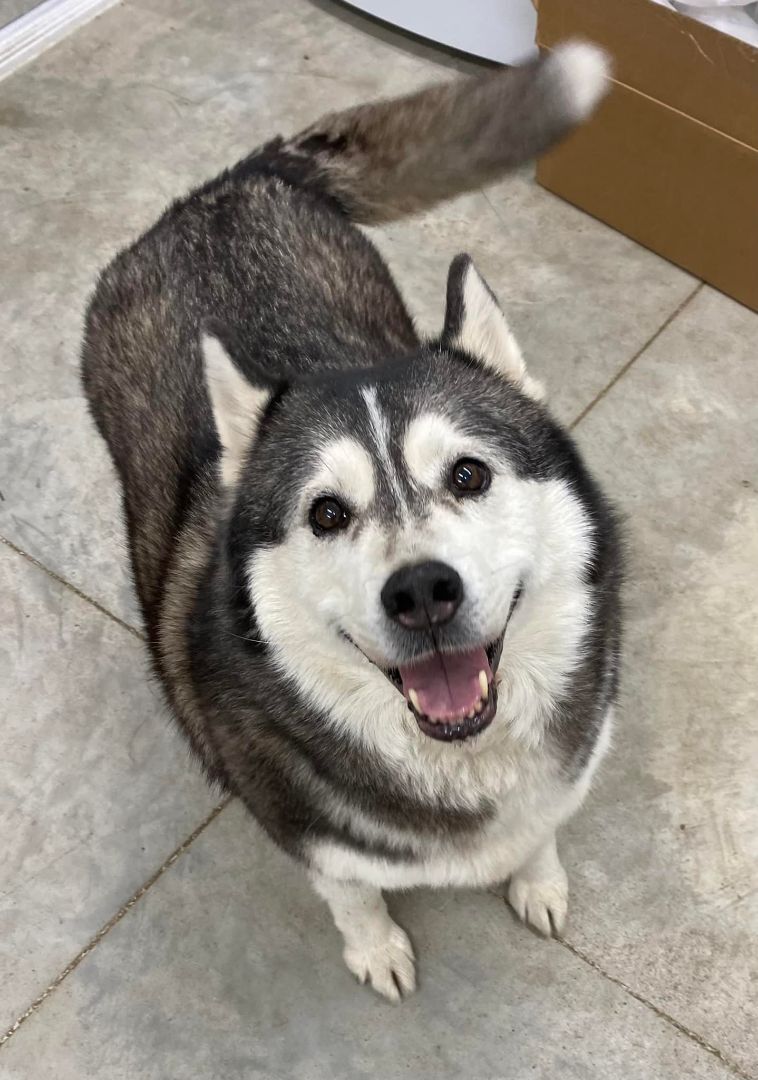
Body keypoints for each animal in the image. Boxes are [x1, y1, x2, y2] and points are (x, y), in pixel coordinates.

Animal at [79, 44, 621, 1002]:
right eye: (326, 513)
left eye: (469, 474)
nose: (423, 593)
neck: (460, 759)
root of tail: (223, 189)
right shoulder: (309, 833)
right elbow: (353, 893)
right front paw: (376, 946)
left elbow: (543, 826)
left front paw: (538, 877)